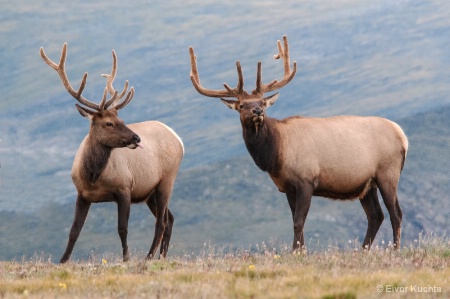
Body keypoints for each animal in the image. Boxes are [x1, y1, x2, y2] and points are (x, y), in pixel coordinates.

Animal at [40, 43, 184, 264]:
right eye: (109, 123)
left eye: (121, 120)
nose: (136, 138)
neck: (93, 176)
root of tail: (178, 139)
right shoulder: (82, 194)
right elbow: (74, 231)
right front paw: (62, 261)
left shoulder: (124, 188)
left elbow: (122, 228)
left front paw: (126, 257)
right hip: (149, 191)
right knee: (170, 219)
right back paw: (161, 256)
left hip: (167, 179)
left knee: (161, 221)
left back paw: (149, 256)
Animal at [190, 35, 408, 251]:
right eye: (242, 105)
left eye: (262, 102)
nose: (258, 111)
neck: (275, 155)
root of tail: (403, 136)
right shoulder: (288, 187)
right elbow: (296, 221)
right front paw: (300, 251)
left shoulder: (306, 180)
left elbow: (298, 222)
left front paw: (296, 251)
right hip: (367, 184)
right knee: (376, 215)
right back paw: (362, 250)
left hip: (387, 172)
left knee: (395, 213)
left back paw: (395, 249)